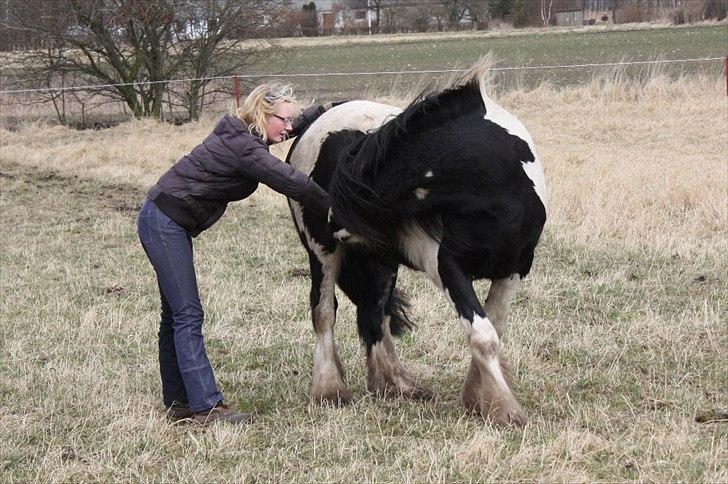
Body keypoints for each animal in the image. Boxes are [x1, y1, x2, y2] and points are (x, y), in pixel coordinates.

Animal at [284, 60, 544, 428]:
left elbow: (494, 330)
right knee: (324, 313)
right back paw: (330, 389)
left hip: (379, 261)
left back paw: (396, 384)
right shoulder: (449, 269)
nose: (330, 223)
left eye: (357, 185)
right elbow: (483, 335)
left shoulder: (514, 269)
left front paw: (479, 399)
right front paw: (505, 409)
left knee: (374, 313)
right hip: (323, 255)